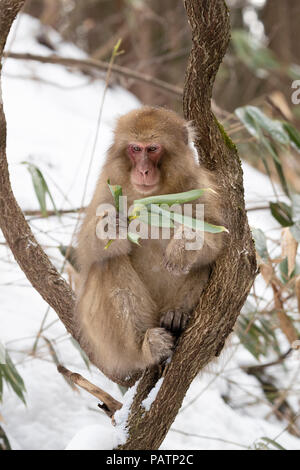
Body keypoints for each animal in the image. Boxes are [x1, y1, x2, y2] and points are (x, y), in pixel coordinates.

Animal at [75, 106, 225, 382]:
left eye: (153, 149)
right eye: (135, 148)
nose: (143, 171)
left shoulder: (201, 187)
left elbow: (216, 241)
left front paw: (185, 243)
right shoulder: (108, 182)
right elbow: (87, 253)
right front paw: (109, 227)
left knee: (203, 267)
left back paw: (176, 315)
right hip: (110, 344)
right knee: (108, 263)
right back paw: (145, 348)